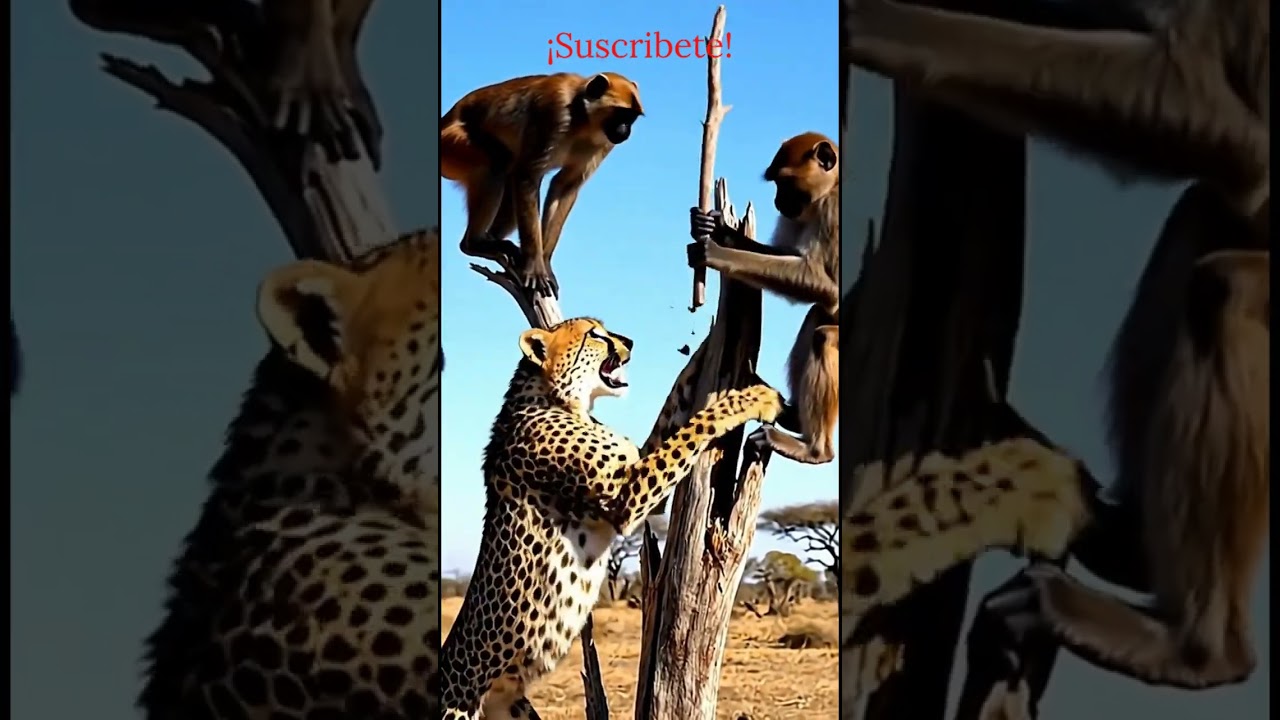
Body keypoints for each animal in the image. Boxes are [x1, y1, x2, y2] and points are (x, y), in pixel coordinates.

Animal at [439, 317, 785, 719]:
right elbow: (694, 428)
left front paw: (701, 353)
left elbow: (673, 413)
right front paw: (751, 400)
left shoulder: (639, 472)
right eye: (594, 334)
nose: (629, 341)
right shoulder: (628, 497)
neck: (559, 400)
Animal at [440, 72, 644, 298]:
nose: (625, 131)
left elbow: (565, 186)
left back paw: (493, 241)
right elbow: (527, 176)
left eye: (632, 118)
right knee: (498, 162)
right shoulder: (553, 112)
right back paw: (474, 243)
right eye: (621, 115)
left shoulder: (603, 143)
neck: (581, 119)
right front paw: (535, 268)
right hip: (452, 146)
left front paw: (544, 262)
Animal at [687, 131, 841, 466]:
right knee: (816, 318)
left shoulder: (833, 212)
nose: (777, 201)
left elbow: (826, 286)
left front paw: (714, 252)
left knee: (825, 337)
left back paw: (815, 450)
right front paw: (716, 228)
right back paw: (795, 417)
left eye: (785, 182)